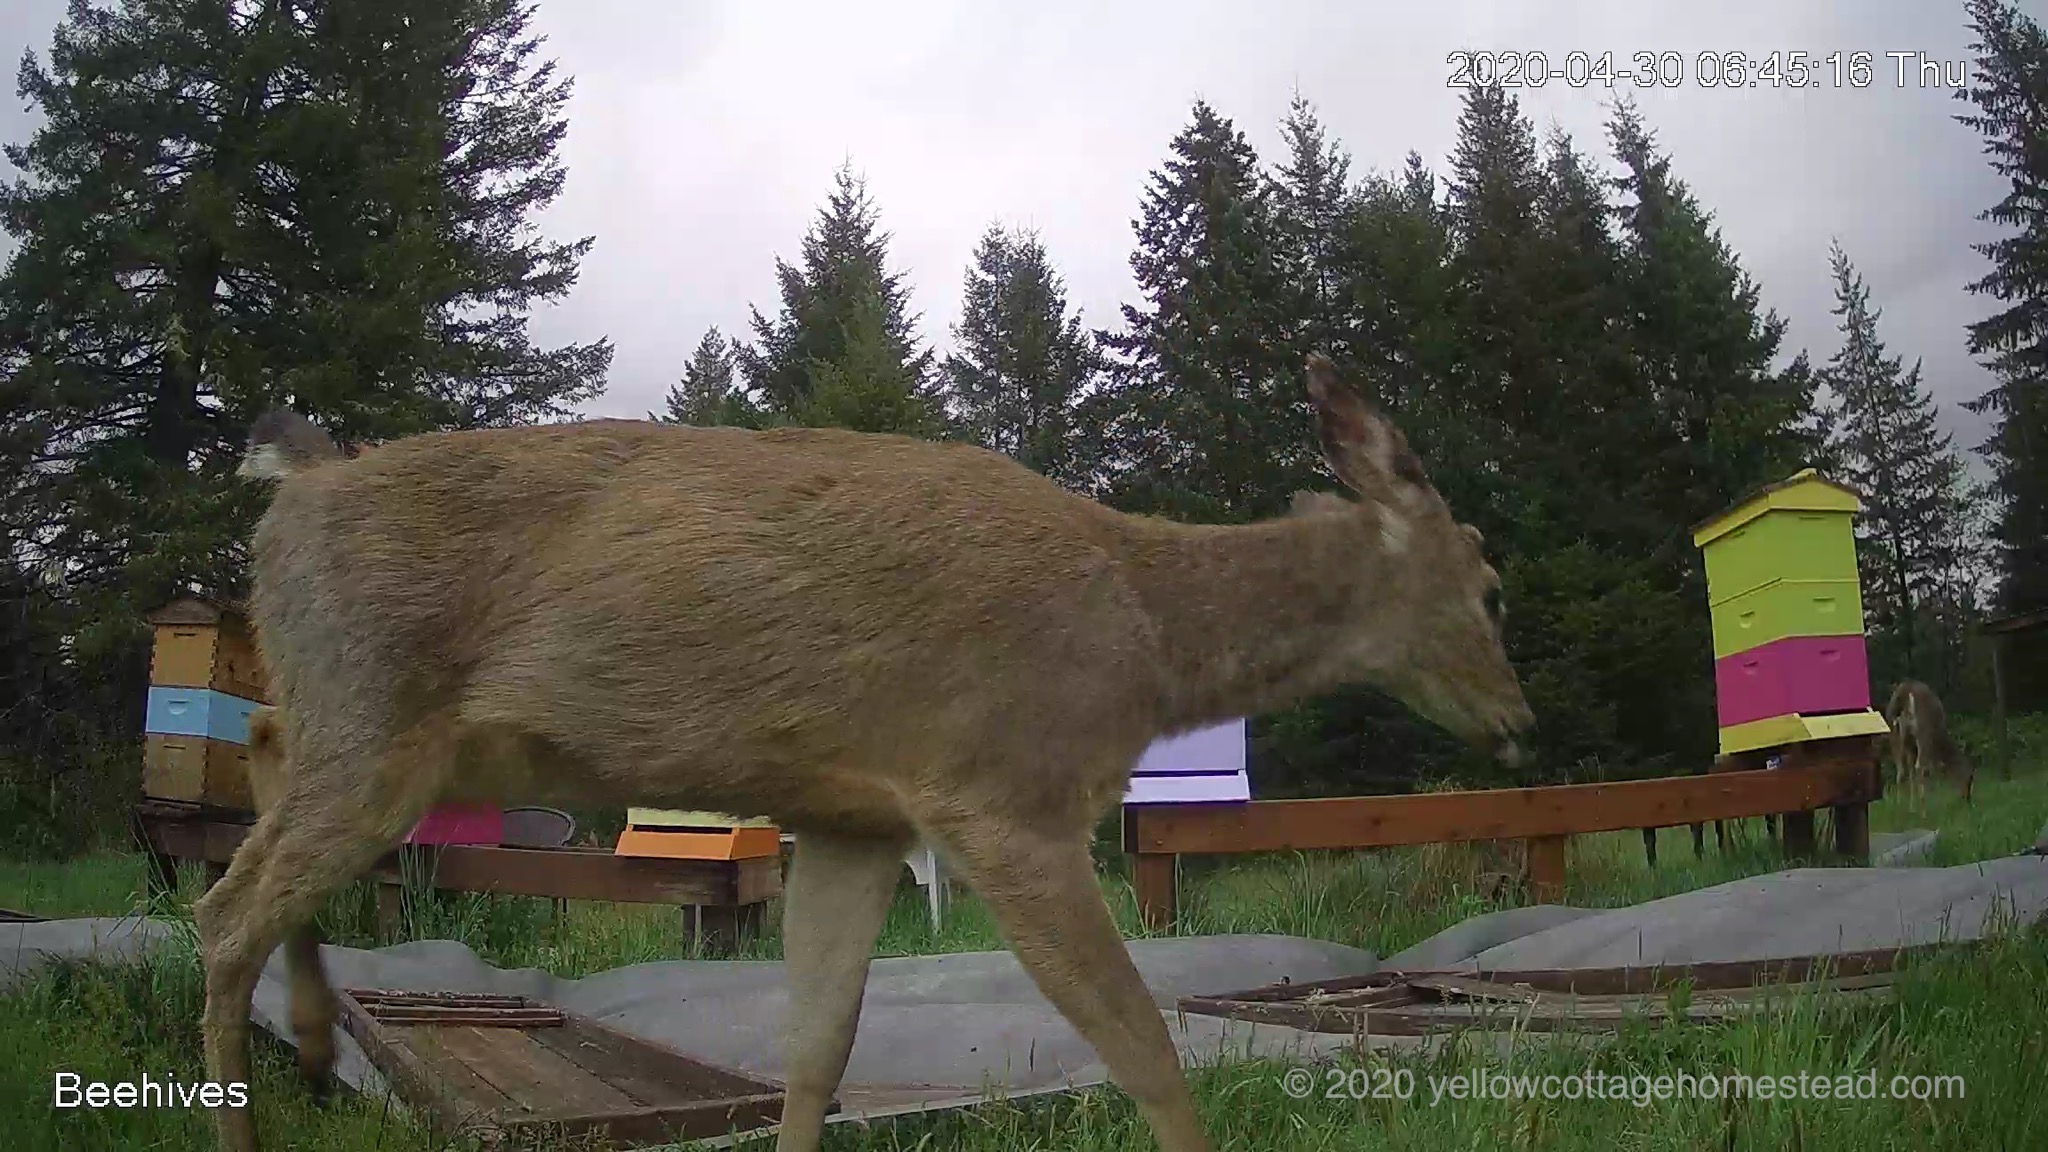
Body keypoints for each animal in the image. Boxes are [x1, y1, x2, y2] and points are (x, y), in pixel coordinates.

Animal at [195, 353, 1534, 1152]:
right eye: (1485, 581)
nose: (1517, 720)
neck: (1142, 632)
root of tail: (296, 485)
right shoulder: (1002, 791)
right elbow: (1140, 1043)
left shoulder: (857, 817)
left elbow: (816, 1049)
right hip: (379, 709)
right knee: (221, 909)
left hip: (412, 736)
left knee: (258, 759)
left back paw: (311, 1037)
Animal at [1884, 679, 1973, 817]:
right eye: (1969, 779)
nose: (1967, 798)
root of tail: (1905, 692)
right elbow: (1930, 771)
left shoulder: (1912, 747)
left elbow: (1911, 771)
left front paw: (1911, 808)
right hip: (1922, 732)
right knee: (1919, 767)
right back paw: (1924, 813)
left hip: (1895, 733)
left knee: (1901, 769)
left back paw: (1899, 807)